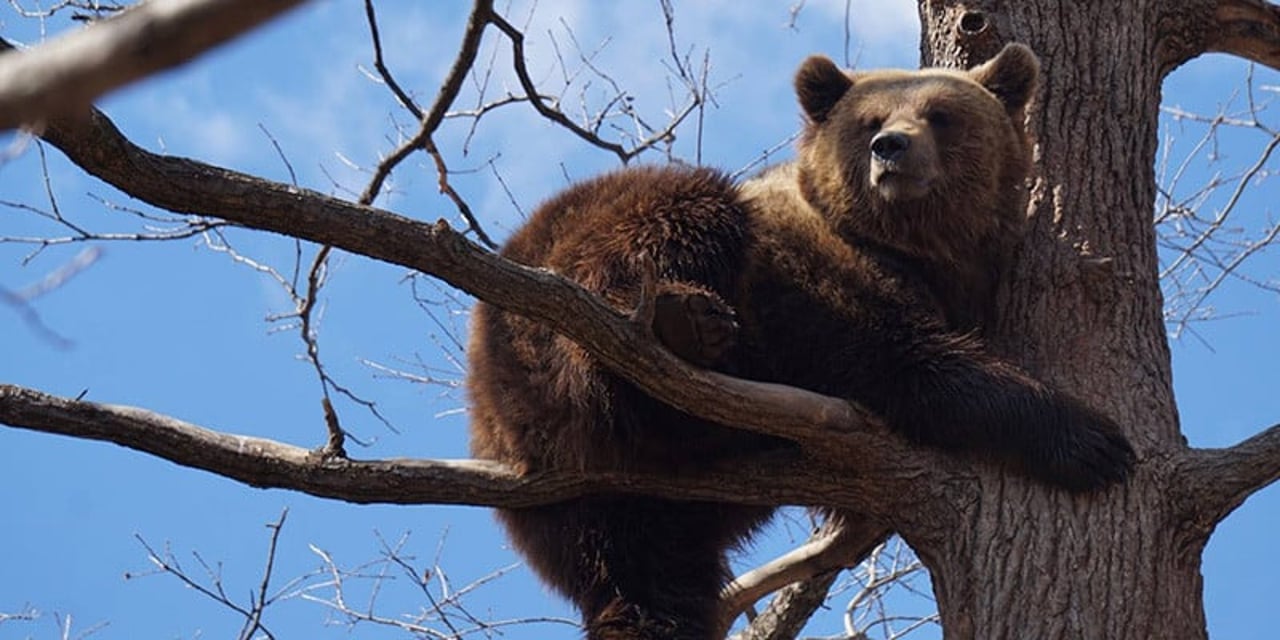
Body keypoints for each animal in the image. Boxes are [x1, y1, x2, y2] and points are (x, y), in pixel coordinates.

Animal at [468, 42, 1131, 637]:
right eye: (870, 120)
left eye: (941, 113)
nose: (890, 148)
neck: (920, 250)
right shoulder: (813, 282)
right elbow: (907, 359)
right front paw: (1093, 441)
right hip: (570, 265)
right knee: (670, 216)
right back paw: (681, 321)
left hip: (611, 514)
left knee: (650, 581)